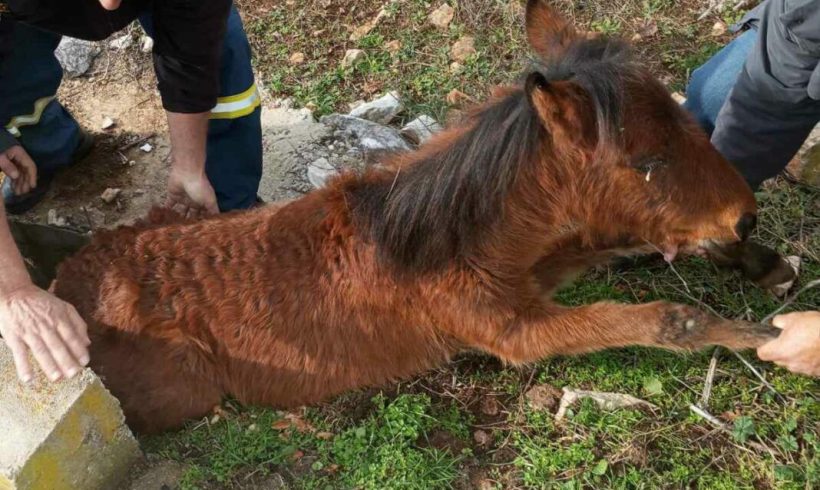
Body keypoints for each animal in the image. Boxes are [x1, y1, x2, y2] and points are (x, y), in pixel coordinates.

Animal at [54, 1, 780, 434]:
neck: (448, 241)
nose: (744, 218)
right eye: (648, 161)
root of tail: (69, 277)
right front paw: (761, 335)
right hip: (185, 398)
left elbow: (614, 243)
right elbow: (662, 317)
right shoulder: (517, 333)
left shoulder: (544, 269)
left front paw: (760, 264)